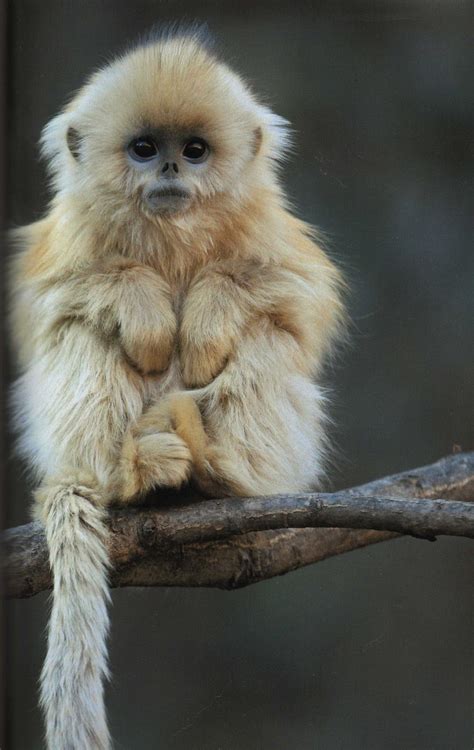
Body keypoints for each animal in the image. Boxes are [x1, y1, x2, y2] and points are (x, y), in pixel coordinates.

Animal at [9, 25, 346, 750]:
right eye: (144, 149)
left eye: (194, 150)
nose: (168, 170)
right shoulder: (63, 245)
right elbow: (55, 302)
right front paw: (147, 312)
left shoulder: (272, 234)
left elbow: (296, 299)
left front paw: (205, 323)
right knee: (82, 334)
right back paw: (133, 474)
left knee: (267, 339)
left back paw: (217, 465)